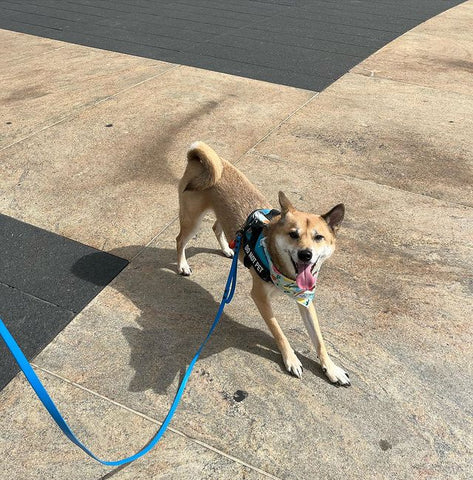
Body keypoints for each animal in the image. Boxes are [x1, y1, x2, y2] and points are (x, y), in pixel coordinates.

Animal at [175, 142, 348, 386]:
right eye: (293, 234)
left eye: (319, 237)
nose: (306, 254)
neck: (284, 273)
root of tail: (197, 157)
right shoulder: (260, 298)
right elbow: (279, 332)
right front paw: (291, 360)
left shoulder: (306, 299)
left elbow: (319, 340)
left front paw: (331, 368)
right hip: (192, 219)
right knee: (180, 240)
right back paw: (182, 264)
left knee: (217, 228)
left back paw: (228, 249)